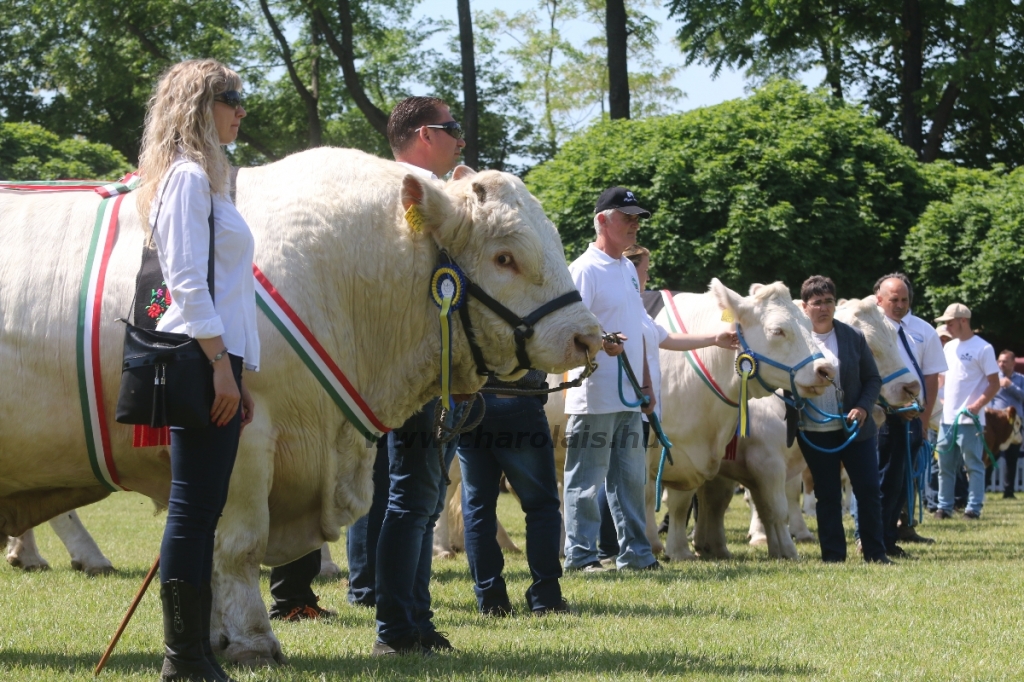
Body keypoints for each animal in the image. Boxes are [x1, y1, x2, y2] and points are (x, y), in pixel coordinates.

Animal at [0, 146, 598, 659]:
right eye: (505, 257)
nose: (587, 337)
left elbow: (205, 547)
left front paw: (214, 637)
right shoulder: (246, 437)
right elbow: (236, 544)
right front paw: (252, 642)